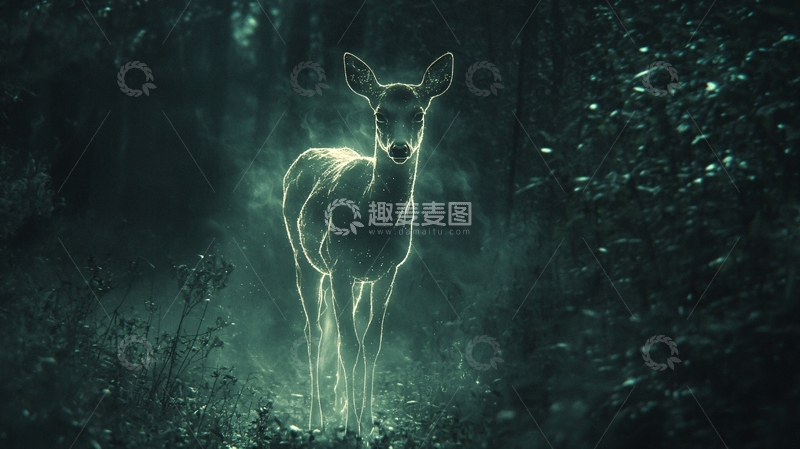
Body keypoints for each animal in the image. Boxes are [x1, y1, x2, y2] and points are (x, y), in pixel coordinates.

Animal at [282, 52, 453, 436]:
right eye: (380, 114)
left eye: (418, 114)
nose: (399, 148)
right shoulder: (340, 266)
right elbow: (349, 345)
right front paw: (350, 426)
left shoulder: (389, 270)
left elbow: (371, 344)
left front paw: (368, 421)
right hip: (306, 258)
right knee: (315, 331)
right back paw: (316, 419)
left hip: (357, 278)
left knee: (342, 330)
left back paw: (340, 404)